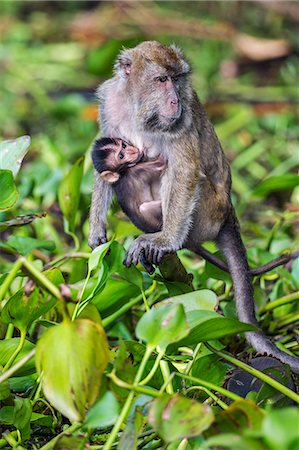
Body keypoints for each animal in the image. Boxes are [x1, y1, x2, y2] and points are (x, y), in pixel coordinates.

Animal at [89, 41, 299, 372]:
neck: (136, 107)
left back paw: (163, 240)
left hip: (208, 212)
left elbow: (184, 170)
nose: (175, 99)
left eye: (177, 79)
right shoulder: (109, 103)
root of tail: (228, 214)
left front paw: (164, 241)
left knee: (176, 176)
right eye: (162, 80)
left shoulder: (181, 121)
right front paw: (96, 230)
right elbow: (104, 168)